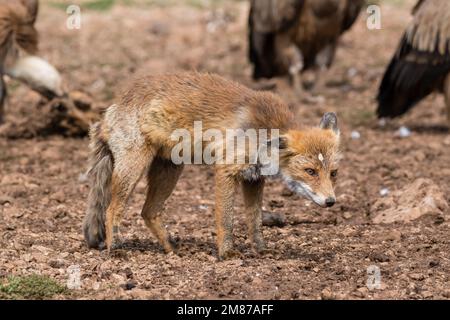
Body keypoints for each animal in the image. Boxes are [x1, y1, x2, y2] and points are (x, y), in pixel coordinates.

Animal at [82, 71, 340, 258]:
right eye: (310, 171)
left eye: (333, 173)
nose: (331, 202)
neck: (261, 130)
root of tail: (112, 107)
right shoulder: (226, 170)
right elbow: (226, 220)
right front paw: (226, 253)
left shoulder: (254, 178)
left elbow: (254, 221)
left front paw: (261, 250)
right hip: (134, 167)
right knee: (112, 209)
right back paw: (116, 249)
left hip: (170, 170)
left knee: (148, 212)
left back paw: (171, 250)